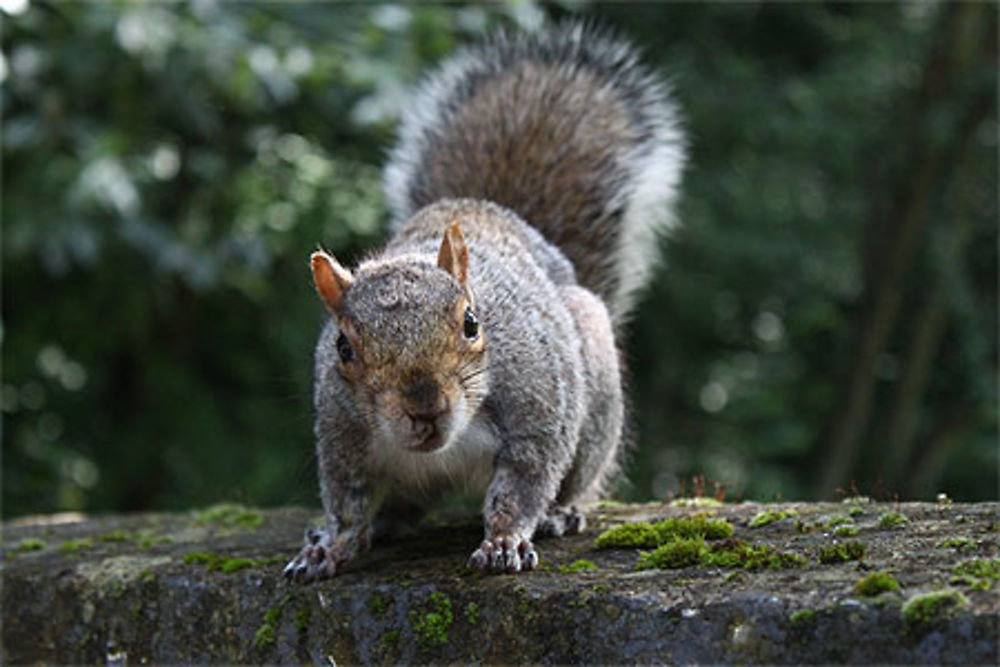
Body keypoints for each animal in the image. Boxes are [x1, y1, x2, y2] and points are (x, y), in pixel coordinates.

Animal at [286, 23, 684, 580]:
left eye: (472, 323)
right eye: (343, 347)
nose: (425, 407)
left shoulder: (537, 411)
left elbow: (522, 484)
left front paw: (503, 540)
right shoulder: (343, 437)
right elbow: (348, 502)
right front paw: (329, 546)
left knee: (577, 479)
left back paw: (562, 513)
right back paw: (380, 526)